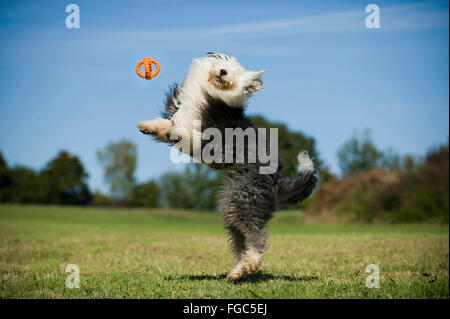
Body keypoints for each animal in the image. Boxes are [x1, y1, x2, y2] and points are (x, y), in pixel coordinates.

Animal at [139, 53, 318, 282]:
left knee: (257, 240)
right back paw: (237, 271)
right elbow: (167, 126)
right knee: (243, 242)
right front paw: (147, 126)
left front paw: (171, 131)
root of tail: (277, 181)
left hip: (241, 203)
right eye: (224, 65)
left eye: (235, 72)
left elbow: (183, 132)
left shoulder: (204, 137)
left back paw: (247, 267)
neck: (210, 94)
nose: (223, 73)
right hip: (233, 210)